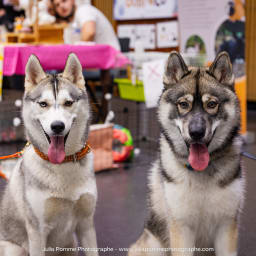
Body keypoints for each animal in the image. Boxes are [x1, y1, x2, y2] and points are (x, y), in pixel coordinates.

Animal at [0, 53, 98, 255]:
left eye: (68, 103)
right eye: (43, 104)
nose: (57, 126)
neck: (63, 164)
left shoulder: (86, 225)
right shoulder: (37, 232)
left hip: (71, 246)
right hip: (15, 249)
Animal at [129, 51, 245, 255]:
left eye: (212, 104)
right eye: (183, 104)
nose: (196, 132)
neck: (201, 173)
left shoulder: (226, 226)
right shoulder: (181, 228)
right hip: (154, 246)